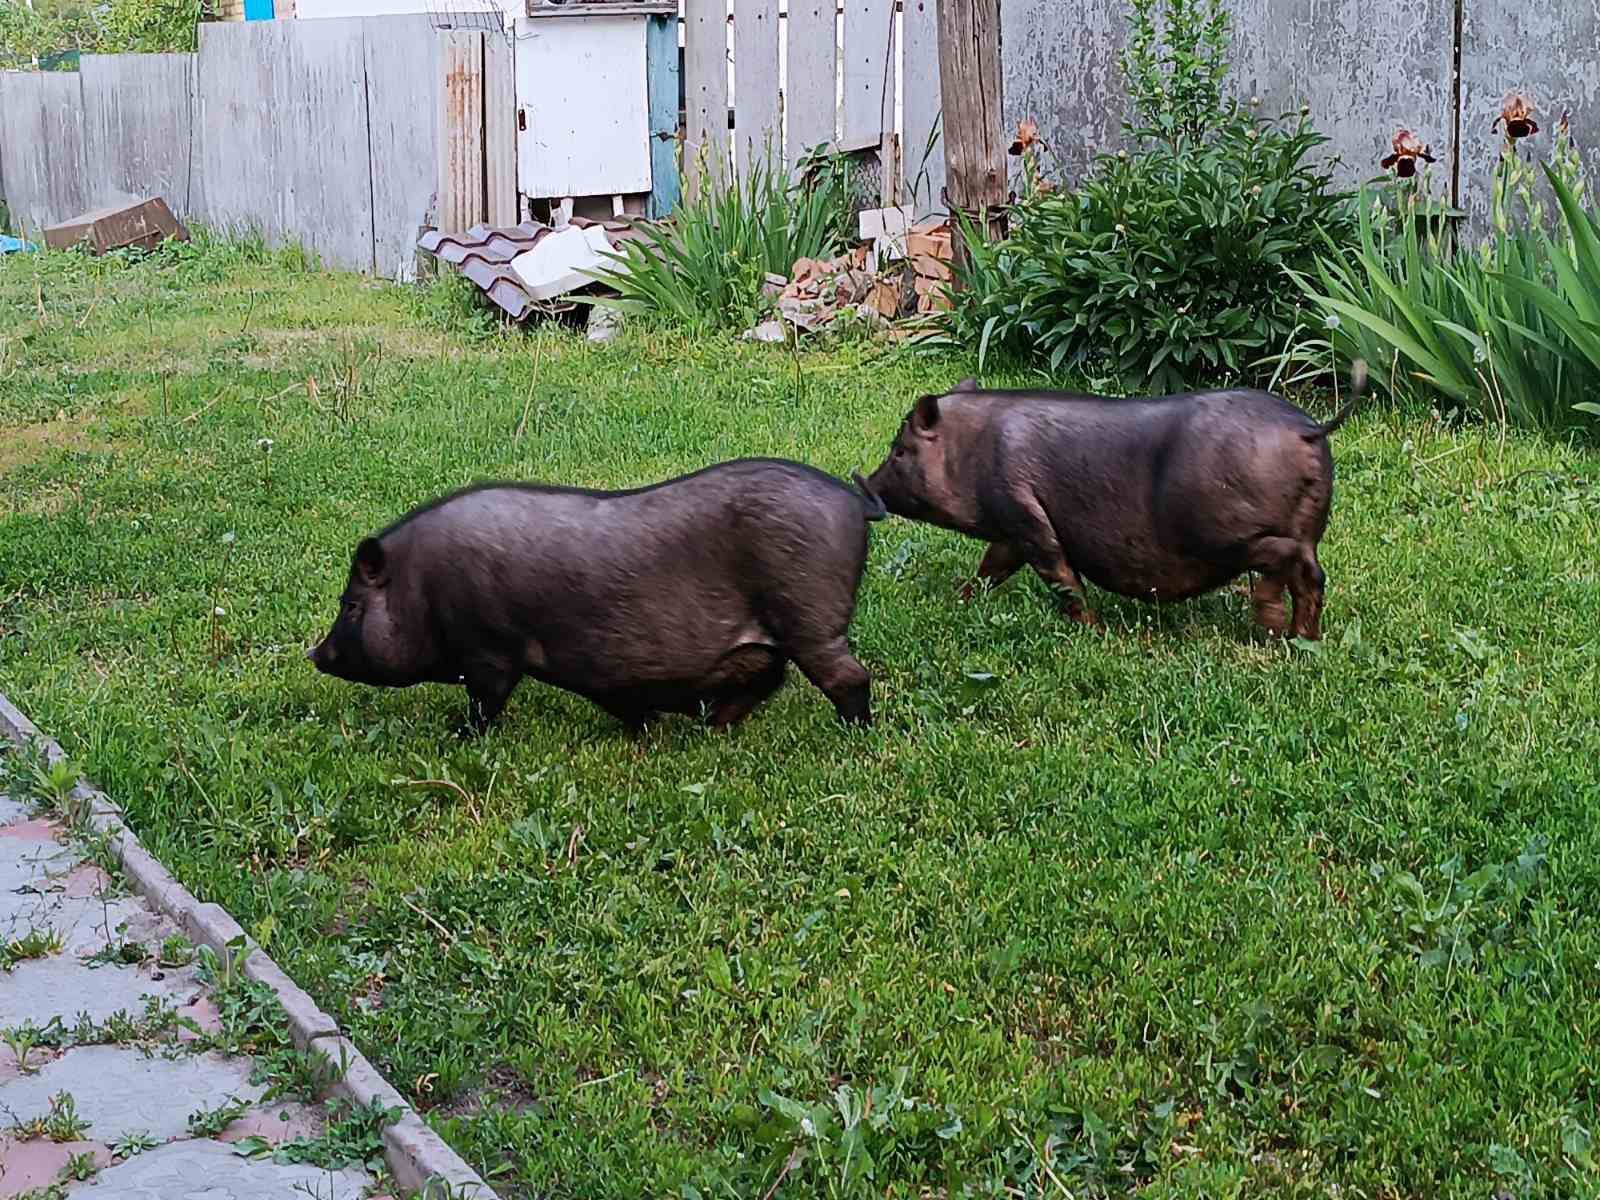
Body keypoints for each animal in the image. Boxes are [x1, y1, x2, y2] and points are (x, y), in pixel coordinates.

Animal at [308, 460, 889, 732]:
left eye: (351, 605)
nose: (314, 653)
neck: (420, 587)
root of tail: (854, 502)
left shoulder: (490, 649)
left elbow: (486, 701)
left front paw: (458, 735)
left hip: (810, 614)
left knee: (848, 677)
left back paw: (854, 733)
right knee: (769, 677)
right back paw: (714, 727)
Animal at [857, 366, 1369, 643]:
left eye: (899, 450)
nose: (864, 481)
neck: (973, 448)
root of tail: (1307, 428)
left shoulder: (1022, 513)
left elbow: (1059, 573)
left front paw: (1093, 631)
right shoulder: (1010, 532)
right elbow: (991, 567)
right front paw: (960, 599)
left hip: (1223, 532)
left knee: (1285, 559)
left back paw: (1270, 624)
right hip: (1307, 523)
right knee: (1311, 575)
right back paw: (1301, 637)